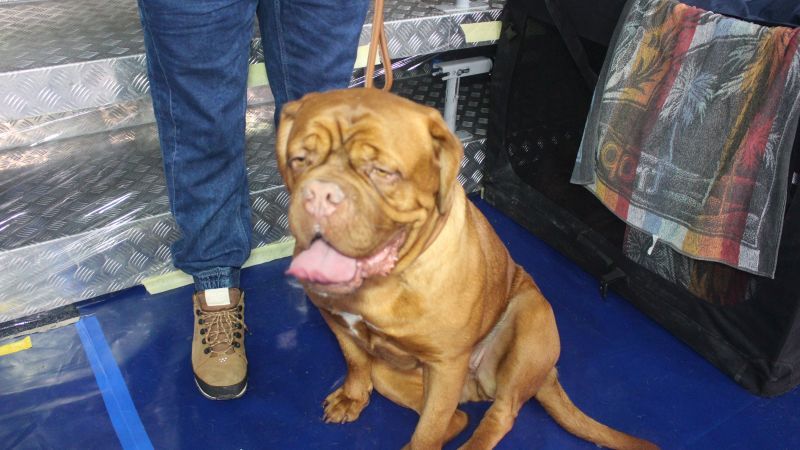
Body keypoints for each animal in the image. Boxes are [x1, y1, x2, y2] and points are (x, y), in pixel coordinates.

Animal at [276, 88, 657, 450]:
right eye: (299, 159)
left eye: (381, 171)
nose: (319, 195)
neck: (381, 284)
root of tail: (548, 375)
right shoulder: (335, 321)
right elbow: (355, 360)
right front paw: (352, 397)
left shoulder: (445, 366)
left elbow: (428, 433)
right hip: (393, 376)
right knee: (456, 417)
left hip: (531, 320)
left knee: (500, 414)